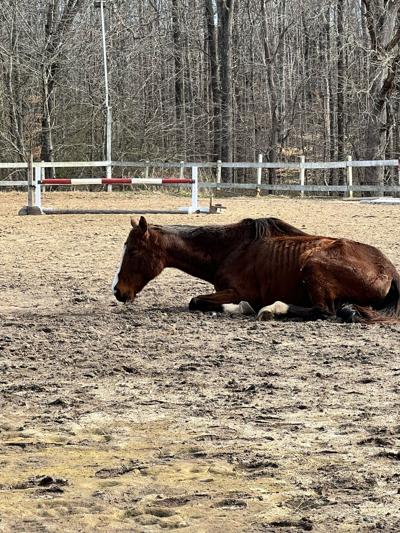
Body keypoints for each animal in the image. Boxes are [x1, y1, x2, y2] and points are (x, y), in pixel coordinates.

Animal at [111, 214, 400, 322]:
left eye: (133, 250)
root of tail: (389, 270)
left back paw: (273, 309)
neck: (230, 249)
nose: (117, 290)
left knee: (323, 311)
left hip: (313, 268)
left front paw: (244, 307)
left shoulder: (237, 291)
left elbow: (196, 301)